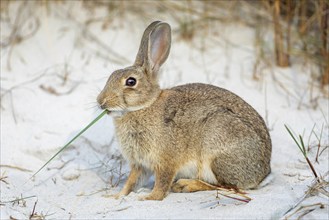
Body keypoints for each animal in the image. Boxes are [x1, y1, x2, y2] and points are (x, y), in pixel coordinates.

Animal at [97, 21, 272, 201]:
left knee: (227, 186)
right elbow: (131, 182)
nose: (101, 102)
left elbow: (162, 183)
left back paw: (185, 185)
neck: (144, 106)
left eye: (131, 82)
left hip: (216, 150)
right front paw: (115, 196)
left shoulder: (165, 160)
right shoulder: (140, 165)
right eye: (111, 76)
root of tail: (262, 172)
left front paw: (148, 198)